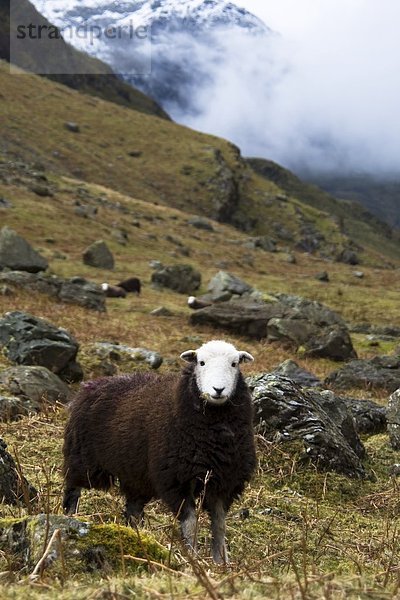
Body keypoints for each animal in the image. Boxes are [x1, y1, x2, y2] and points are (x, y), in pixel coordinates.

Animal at [62, 340, 256, 564]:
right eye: (201, 362)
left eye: (234, 364)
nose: (218, 389)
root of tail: (91, 384)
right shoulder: (176, 480)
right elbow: (190, 523)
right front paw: (193, 558)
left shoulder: (224, 481)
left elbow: (219, 525)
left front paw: (220, 562)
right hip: (83, 458)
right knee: (73, 487)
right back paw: (70, 517)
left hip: (135, 473)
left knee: (133, 508)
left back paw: (136, 535)